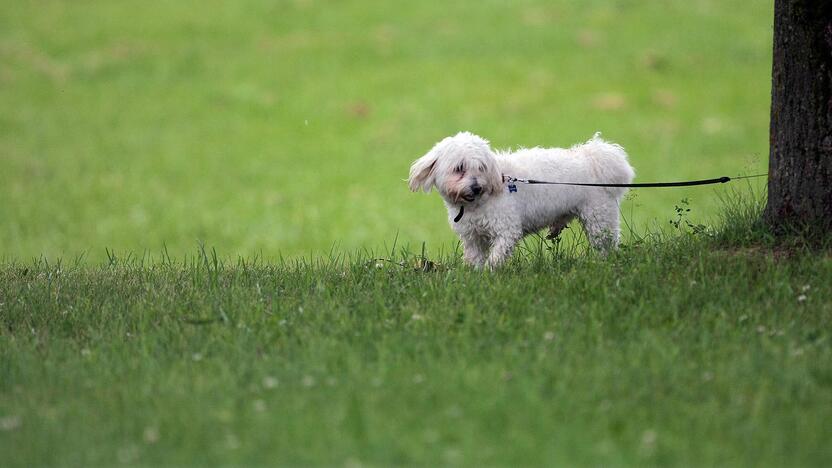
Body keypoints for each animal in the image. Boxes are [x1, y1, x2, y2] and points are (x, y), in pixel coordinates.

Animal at [410, 133, 636, 268]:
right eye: (459, 168)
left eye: (481, 168)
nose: (476, 187)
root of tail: (592, 159)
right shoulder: (472, 236)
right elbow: (475, 257)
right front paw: (476, 274)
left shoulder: (506, 229)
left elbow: (497, 255)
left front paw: (490, 272)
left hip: (599, 217)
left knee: (606, 243)